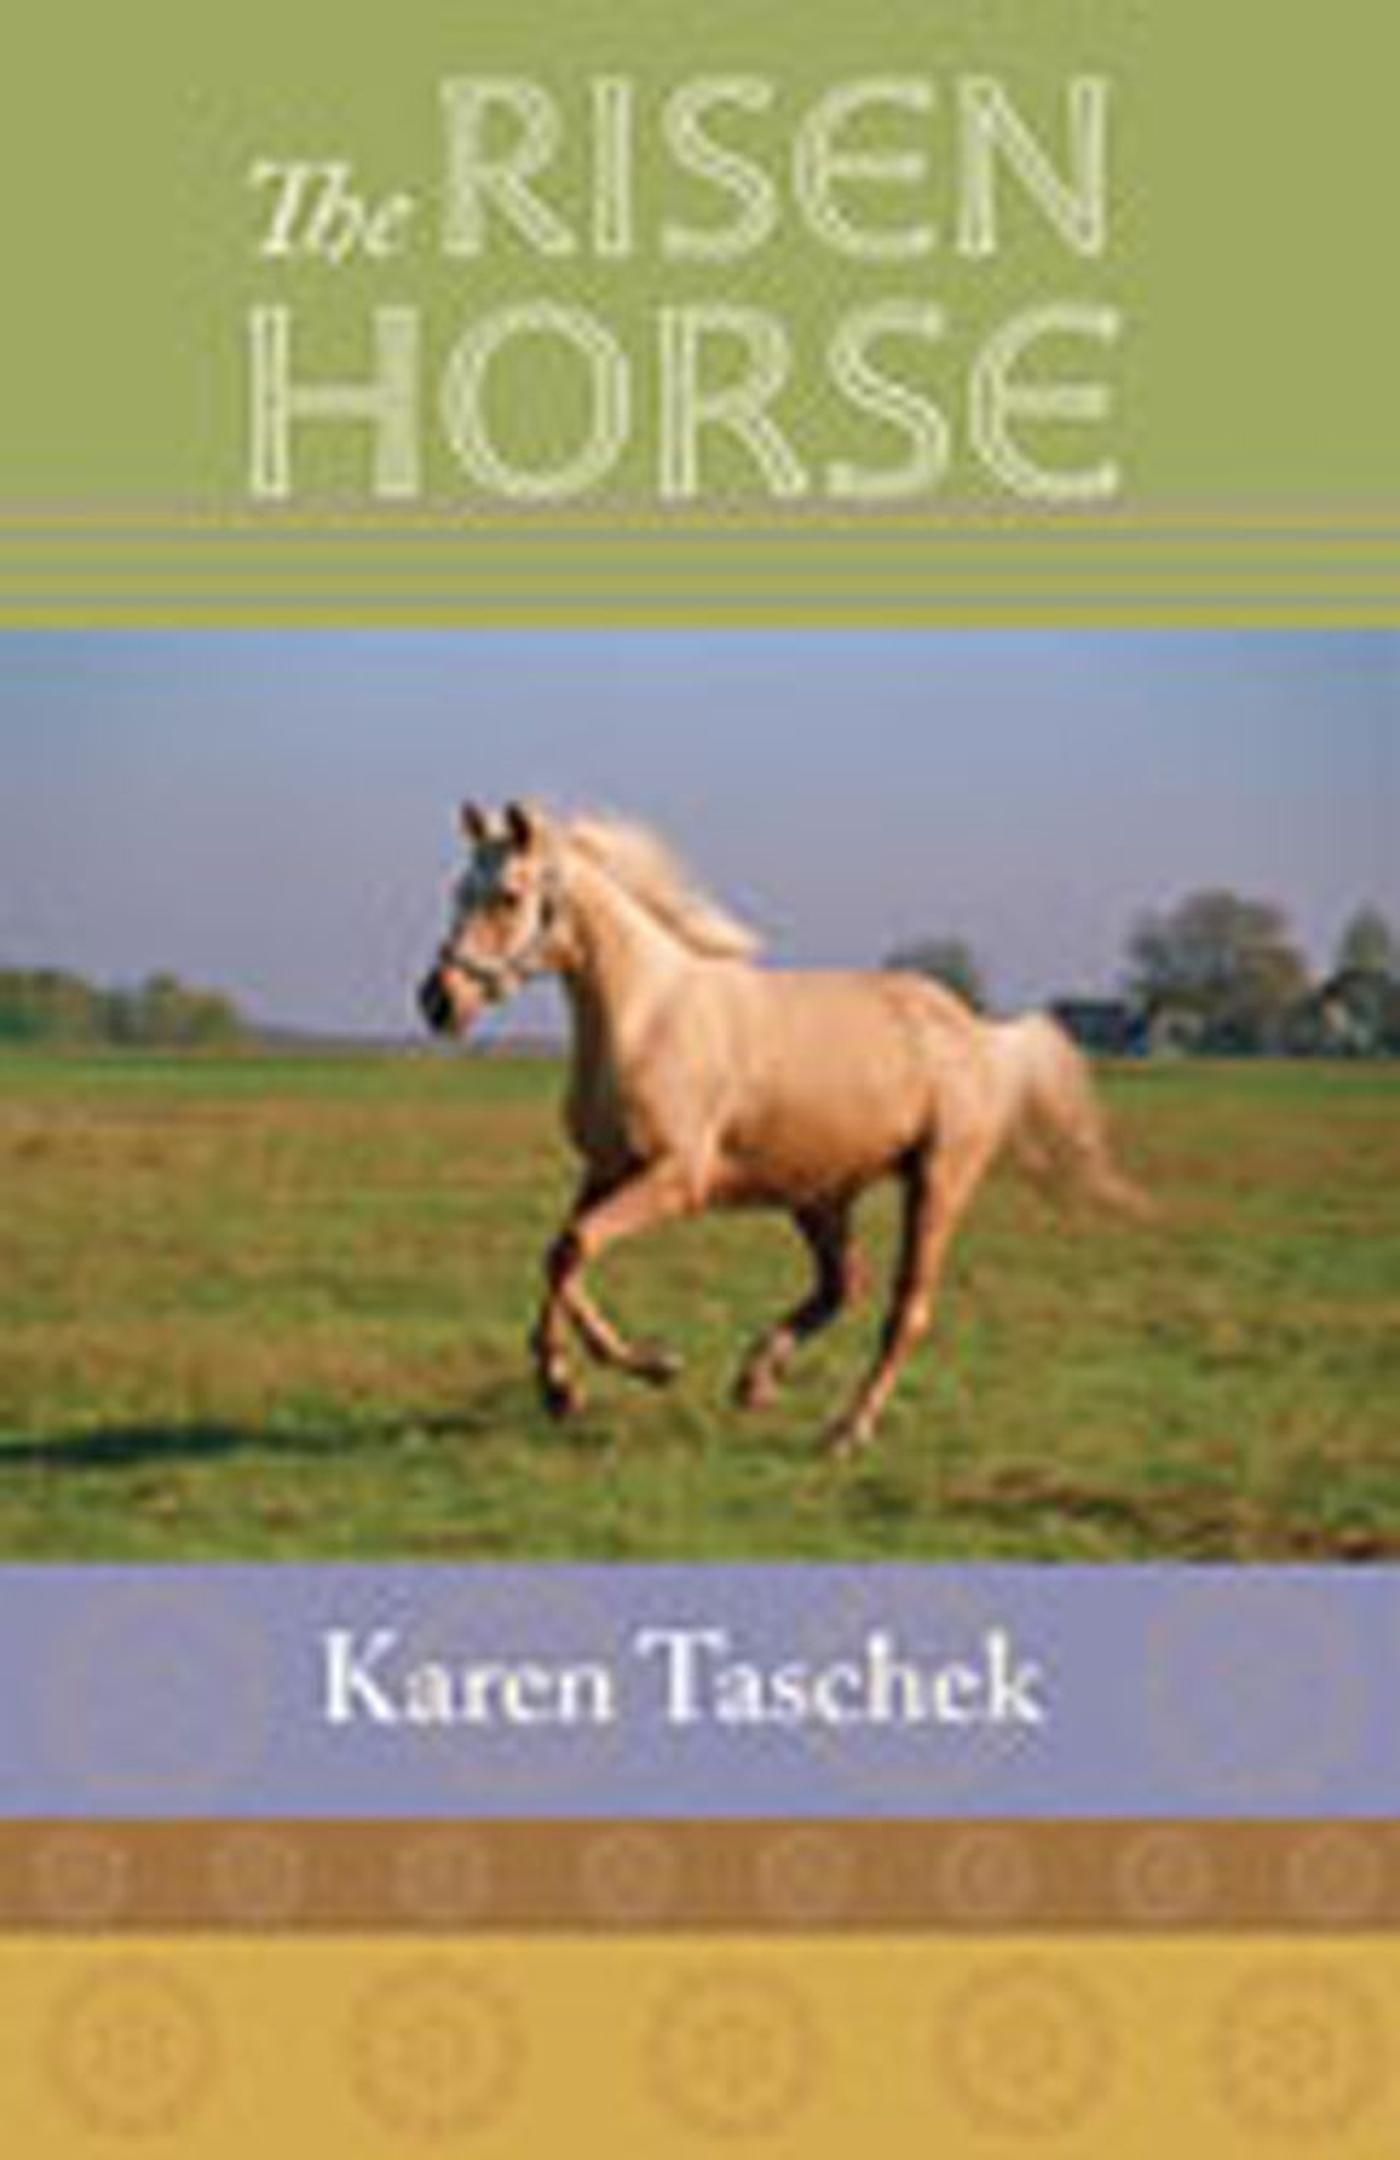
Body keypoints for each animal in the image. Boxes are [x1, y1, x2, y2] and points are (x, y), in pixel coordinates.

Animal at [418, 799, 1151, 1457]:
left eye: (507, 896)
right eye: (458, 890)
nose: (437, 1001)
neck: (648, 1015)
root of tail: (980, 1036)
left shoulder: (674, 1179)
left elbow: (574, 1247)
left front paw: (645, 1366)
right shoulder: (604, 1170)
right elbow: (560, 1254)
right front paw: (564, 1387)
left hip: (936, 1184)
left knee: (904, 1311)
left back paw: (845, 1431)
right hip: (820, 1196)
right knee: (840, 1286)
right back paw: (756, 1378)